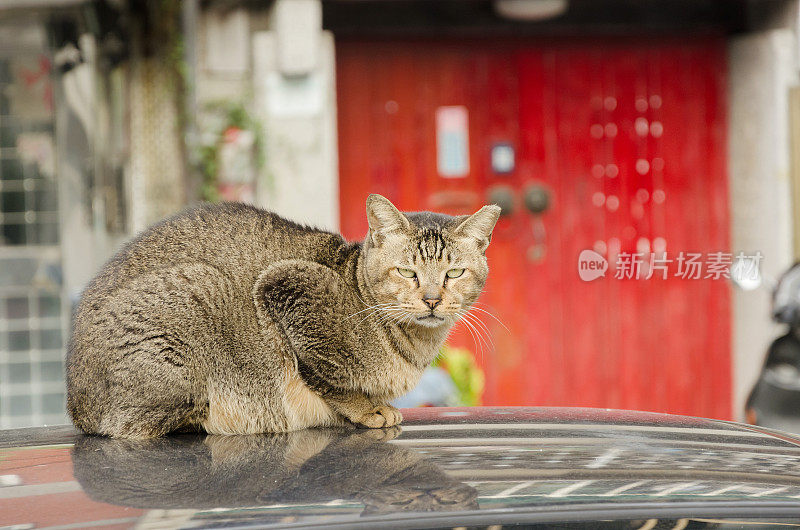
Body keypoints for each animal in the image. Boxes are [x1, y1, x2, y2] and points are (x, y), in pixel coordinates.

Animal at [65, 193, 496, 434]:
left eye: (454, 273)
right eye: (407, 272)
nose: (432, 299)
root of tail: (77, 405)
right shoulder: (284, 286)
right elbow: (326, 378)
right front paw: (368, 408)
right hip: (197, 292)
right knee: (136, 426)